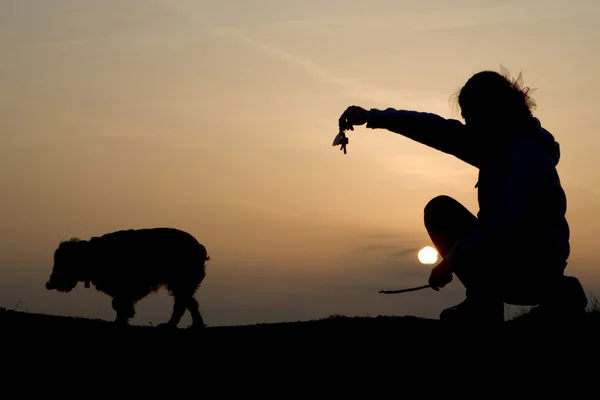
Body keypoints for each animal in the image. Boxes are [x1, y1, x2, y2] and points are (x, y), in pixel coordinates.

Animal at [45, 228, 209, 328]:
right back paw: (194, 325)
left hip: (181, 284)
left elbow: (119, 304)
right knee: (190, 303)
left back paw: (171, 325)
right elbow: (118, 304)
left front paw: (121, 320)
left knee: (182, 305)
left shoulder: (127, 289)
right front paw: (122, 319)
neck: (94, 254)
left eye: (62, 263)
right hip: (181, 285)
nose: (49, 283)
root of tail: (199, 247)